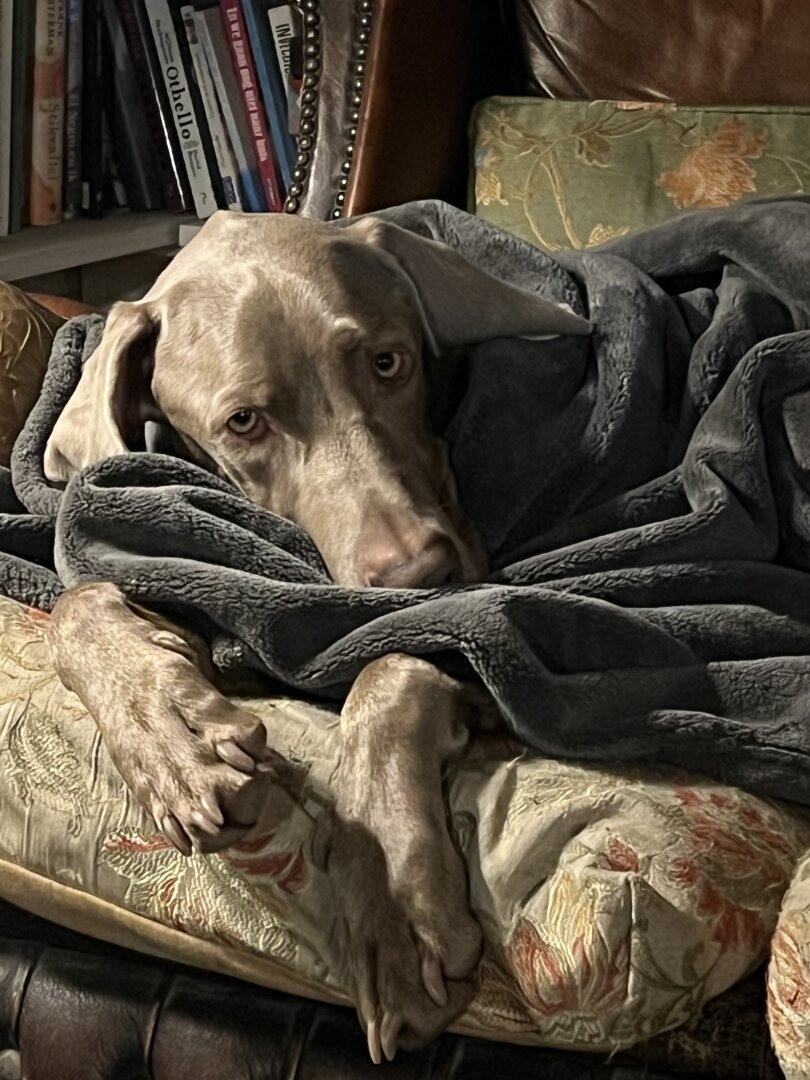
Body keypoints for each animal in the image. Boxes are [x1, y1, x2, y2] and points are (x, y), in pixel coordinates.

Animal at [42, 210, 591, 1062]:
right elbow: (78, 601)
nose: (423, 573)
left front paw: (396, 906)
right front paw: (173, 738)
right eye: (244, 422)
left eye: (389, 361)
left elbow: (394, 663)